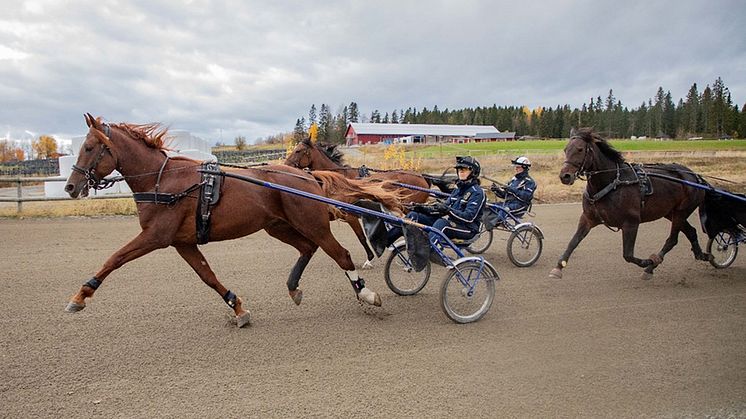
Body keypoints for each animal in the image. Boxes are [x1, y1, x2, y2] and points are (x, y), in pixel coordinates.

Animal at [64, 115, 402, 328]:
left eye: (90, 148)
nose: (70, 186)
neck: (163, 181)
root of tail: (308, 175)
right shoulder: (183, 242)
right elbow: (208, 276)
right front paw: (237, 307)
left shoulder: (156, 236)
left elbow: (115, 258)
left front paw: (81, 295)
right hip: (277, 226)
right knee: (308, 248)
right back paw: (294, 288)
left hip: (312, 223)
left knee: (340, 254)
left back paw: (366, 293)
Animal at [282, 139, 428, 268]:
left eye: (298, 150)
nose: (285, 165)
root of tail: (421, 177)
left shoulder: (350, 216)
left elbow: (361, 237)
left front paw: (369, 260)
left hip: (408, 208)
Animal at [548, 128, 708, 278]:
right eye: (565, 149)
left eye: (580, 149)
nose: (565, 176)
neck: (612, 183)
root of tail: (696, 177)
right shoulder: (588, 218)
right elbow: (573, 242)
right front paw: (558, 267)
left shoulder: (631, 222)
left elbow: (628, 255)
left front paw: (648, 261)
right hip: (671, 212)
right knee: (691, 231)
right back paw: (703, 255)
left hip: (682, 211)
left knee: (672, 240)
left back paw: (651, 266)